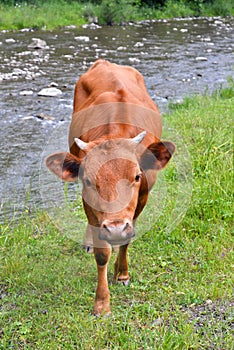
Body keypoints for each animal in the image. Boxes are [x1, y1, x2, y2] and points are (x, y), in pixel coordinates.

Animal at [46, 58, 176, 316]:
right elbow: (101, 253)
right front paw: (102, 303)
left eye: (137, 176)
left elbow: (127, 239)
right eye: (88, 180)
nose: (115, 228)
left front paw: (122, 274)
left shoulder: (142, 198)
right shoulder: (89, 202)